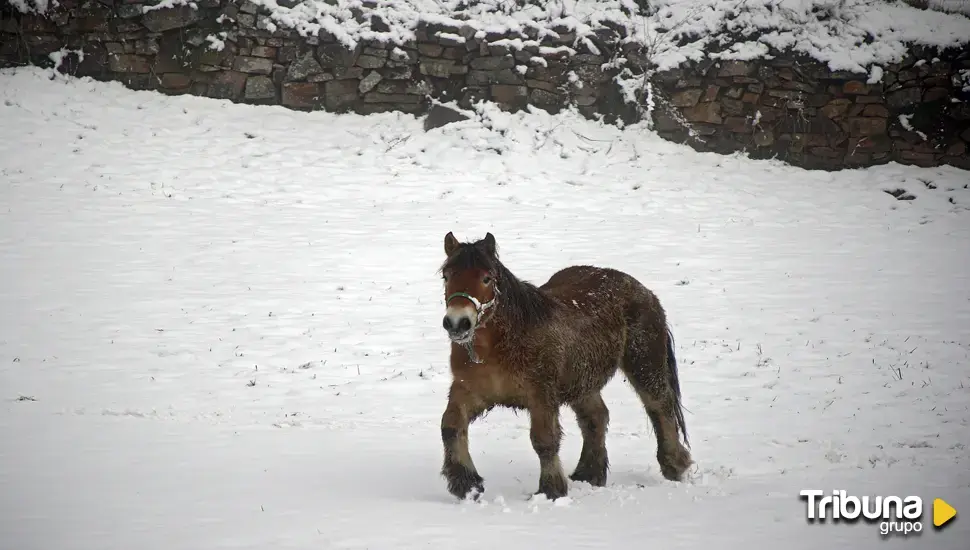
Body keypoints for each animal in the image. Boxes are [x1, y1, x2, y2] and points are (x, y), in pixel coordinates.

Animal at [434, 231, 692, 502]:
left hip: (643, 364)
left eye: (486, 278)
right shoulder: (469, 391)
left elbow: (544, 440)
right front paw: (466, 484)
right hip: (582, 381)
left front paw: (551, 489)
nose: (458, 323)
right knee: (596, 417)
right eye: (446, 276)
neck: (499, 345)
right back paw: (589, 473)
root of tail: (643, 290)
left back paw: (675, 464)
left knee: (659, 406)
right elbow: (450, 426)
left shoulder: (541, 396)